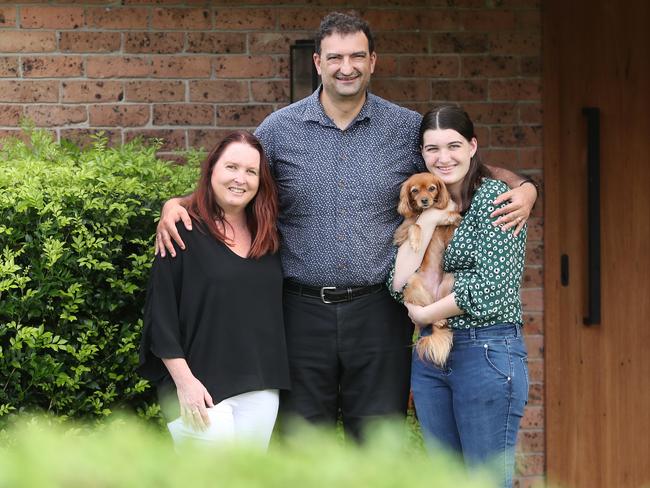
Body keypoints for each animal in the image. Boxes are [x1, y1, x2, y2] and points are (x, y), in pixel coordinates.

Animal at [390, 172, 460, 366]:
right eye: (414, 191)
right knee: (428, 313)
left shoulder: (448, 233)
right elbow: (416, 225)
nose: (424, 201)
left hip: (449, 280)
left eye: (432, 188)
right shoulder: (401, 234)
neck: (423, 213)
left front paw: (453, 216)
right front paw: (416, 241)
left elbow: (452, 223)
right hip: (413, 283)